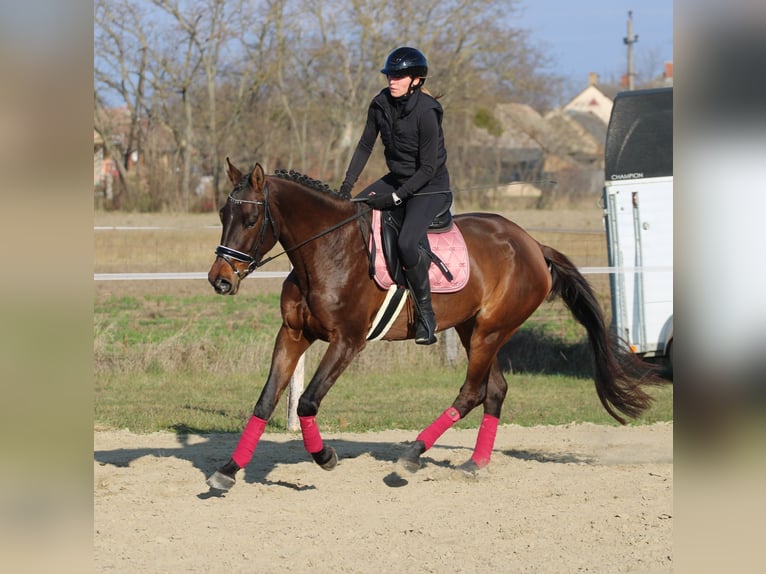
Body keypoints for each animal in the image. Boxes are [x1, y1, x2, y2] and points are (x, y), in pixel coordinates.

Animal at [205, 159, 658, 491]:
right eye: (223, 213)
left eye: (249, 220)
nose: (220, 280)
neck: (325, 251)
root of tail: (532, 243)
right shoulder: (294, 334)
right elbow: (265, 401)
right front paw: (227, 470)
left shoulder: (347, 342)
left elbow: (307, 402)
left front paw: (325, 456)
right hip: (472, 329)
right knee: (495, 390)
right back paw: (475, 463)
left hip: (491, 330)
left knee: (472, 392)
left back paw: (411, 456)